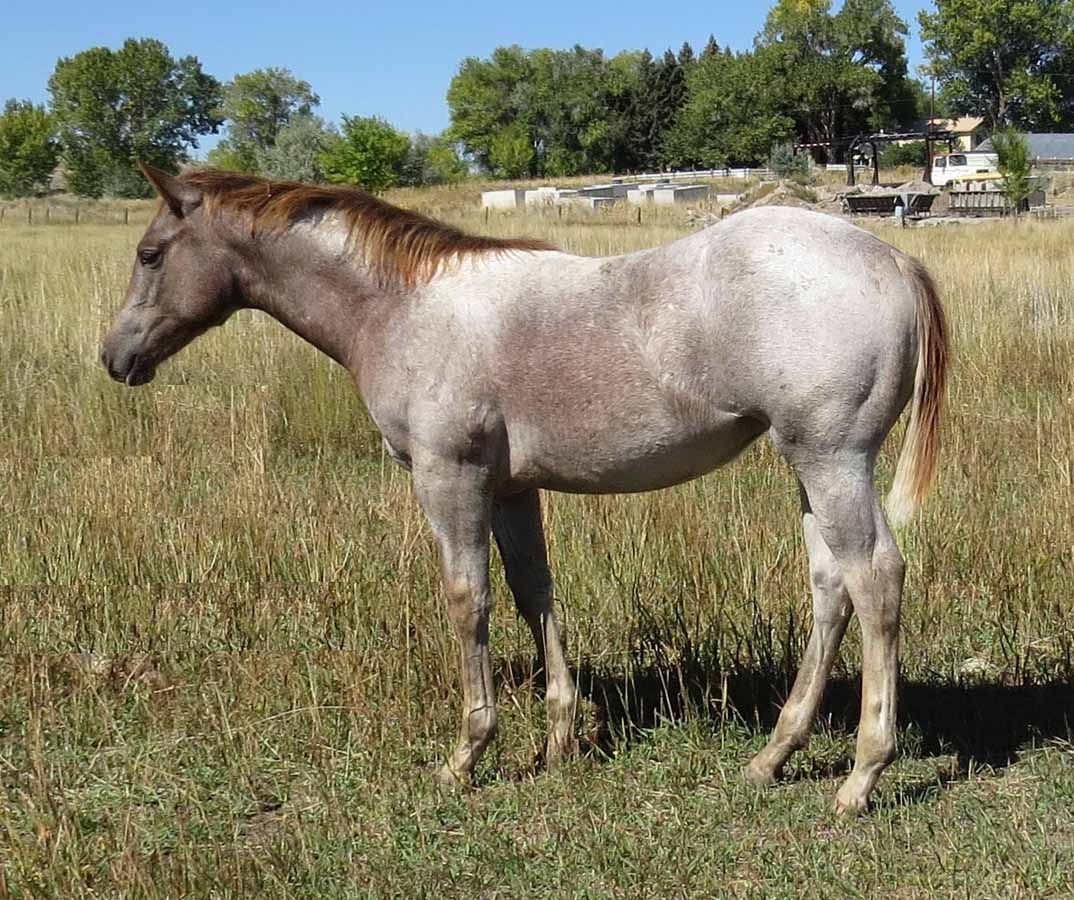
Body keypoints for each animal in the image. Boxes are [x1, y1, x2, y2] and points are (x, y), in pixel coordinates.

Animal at [101, 164, 947, 814]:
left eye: (149, 253)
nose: (115, 356)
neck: (402, 307)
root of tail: (890, 257)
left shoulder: (450, 477)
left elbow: (467, 599)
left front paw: (467, 755)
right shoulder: (510, 488)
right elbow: (531, 590)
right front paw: (560, 740)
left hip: (833, 460)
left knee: (875, 580)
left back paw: (862, 777)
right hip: (808, 467)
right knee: (830, 588)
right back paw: (773, 756)